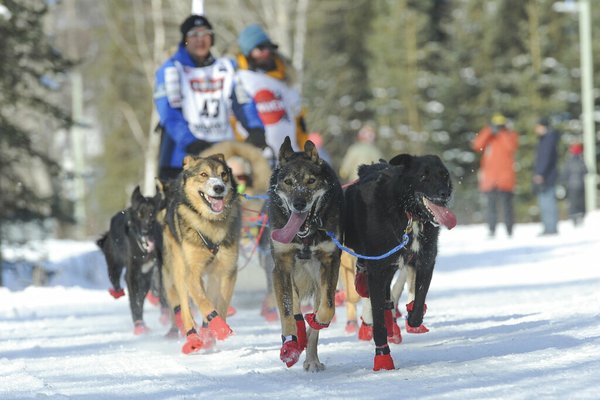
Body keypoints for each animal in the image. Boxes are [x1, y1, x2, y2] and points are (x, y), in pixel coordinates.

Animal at [98, 187, 164, 334]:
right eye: (140, 213)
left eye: (152, 213)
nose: (146, 231)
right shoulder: (131, 275)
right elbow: (135, 301)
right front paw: (139, 325)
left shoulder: (147, 274)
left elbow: (140, 298)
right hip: (114, 265)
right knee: (115, 280)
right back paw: (117, 292)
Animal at [162, 153, 244, 354]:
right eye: (204, 174)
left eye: (223, 174)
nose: (219, 187)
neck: (210, 223)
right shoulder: (192, 272)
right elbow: (203, 301)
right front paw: (219, 328)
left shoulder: (227, 271)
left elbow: (220, 304)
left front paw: (215, 331)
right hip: (179, 268)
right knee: (185, 306)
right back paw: (193, 338)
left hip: (213, 275)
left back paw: (207, 336)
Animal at [268, 137, 342, 372]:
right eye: (288, 182)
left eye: (311, 181)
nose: (299, 204)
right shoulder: (281, 265)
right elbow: (287, 310)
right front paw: (290, 345)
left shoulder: (330, 262)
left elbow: (327, 309)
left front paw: (317, 321)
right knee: (294, 305)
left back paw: (311, 358)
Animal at [344, 154, 458, 372]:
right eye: (423, 176)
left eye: (444, 175)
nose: (445, 193)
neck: (408, 215)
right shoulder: (378, 269)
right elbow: (378, 320)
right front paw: (382, 357)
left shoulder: (425, 260)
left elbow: (419, 298)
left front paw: (413, 317)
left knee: (388, 297)